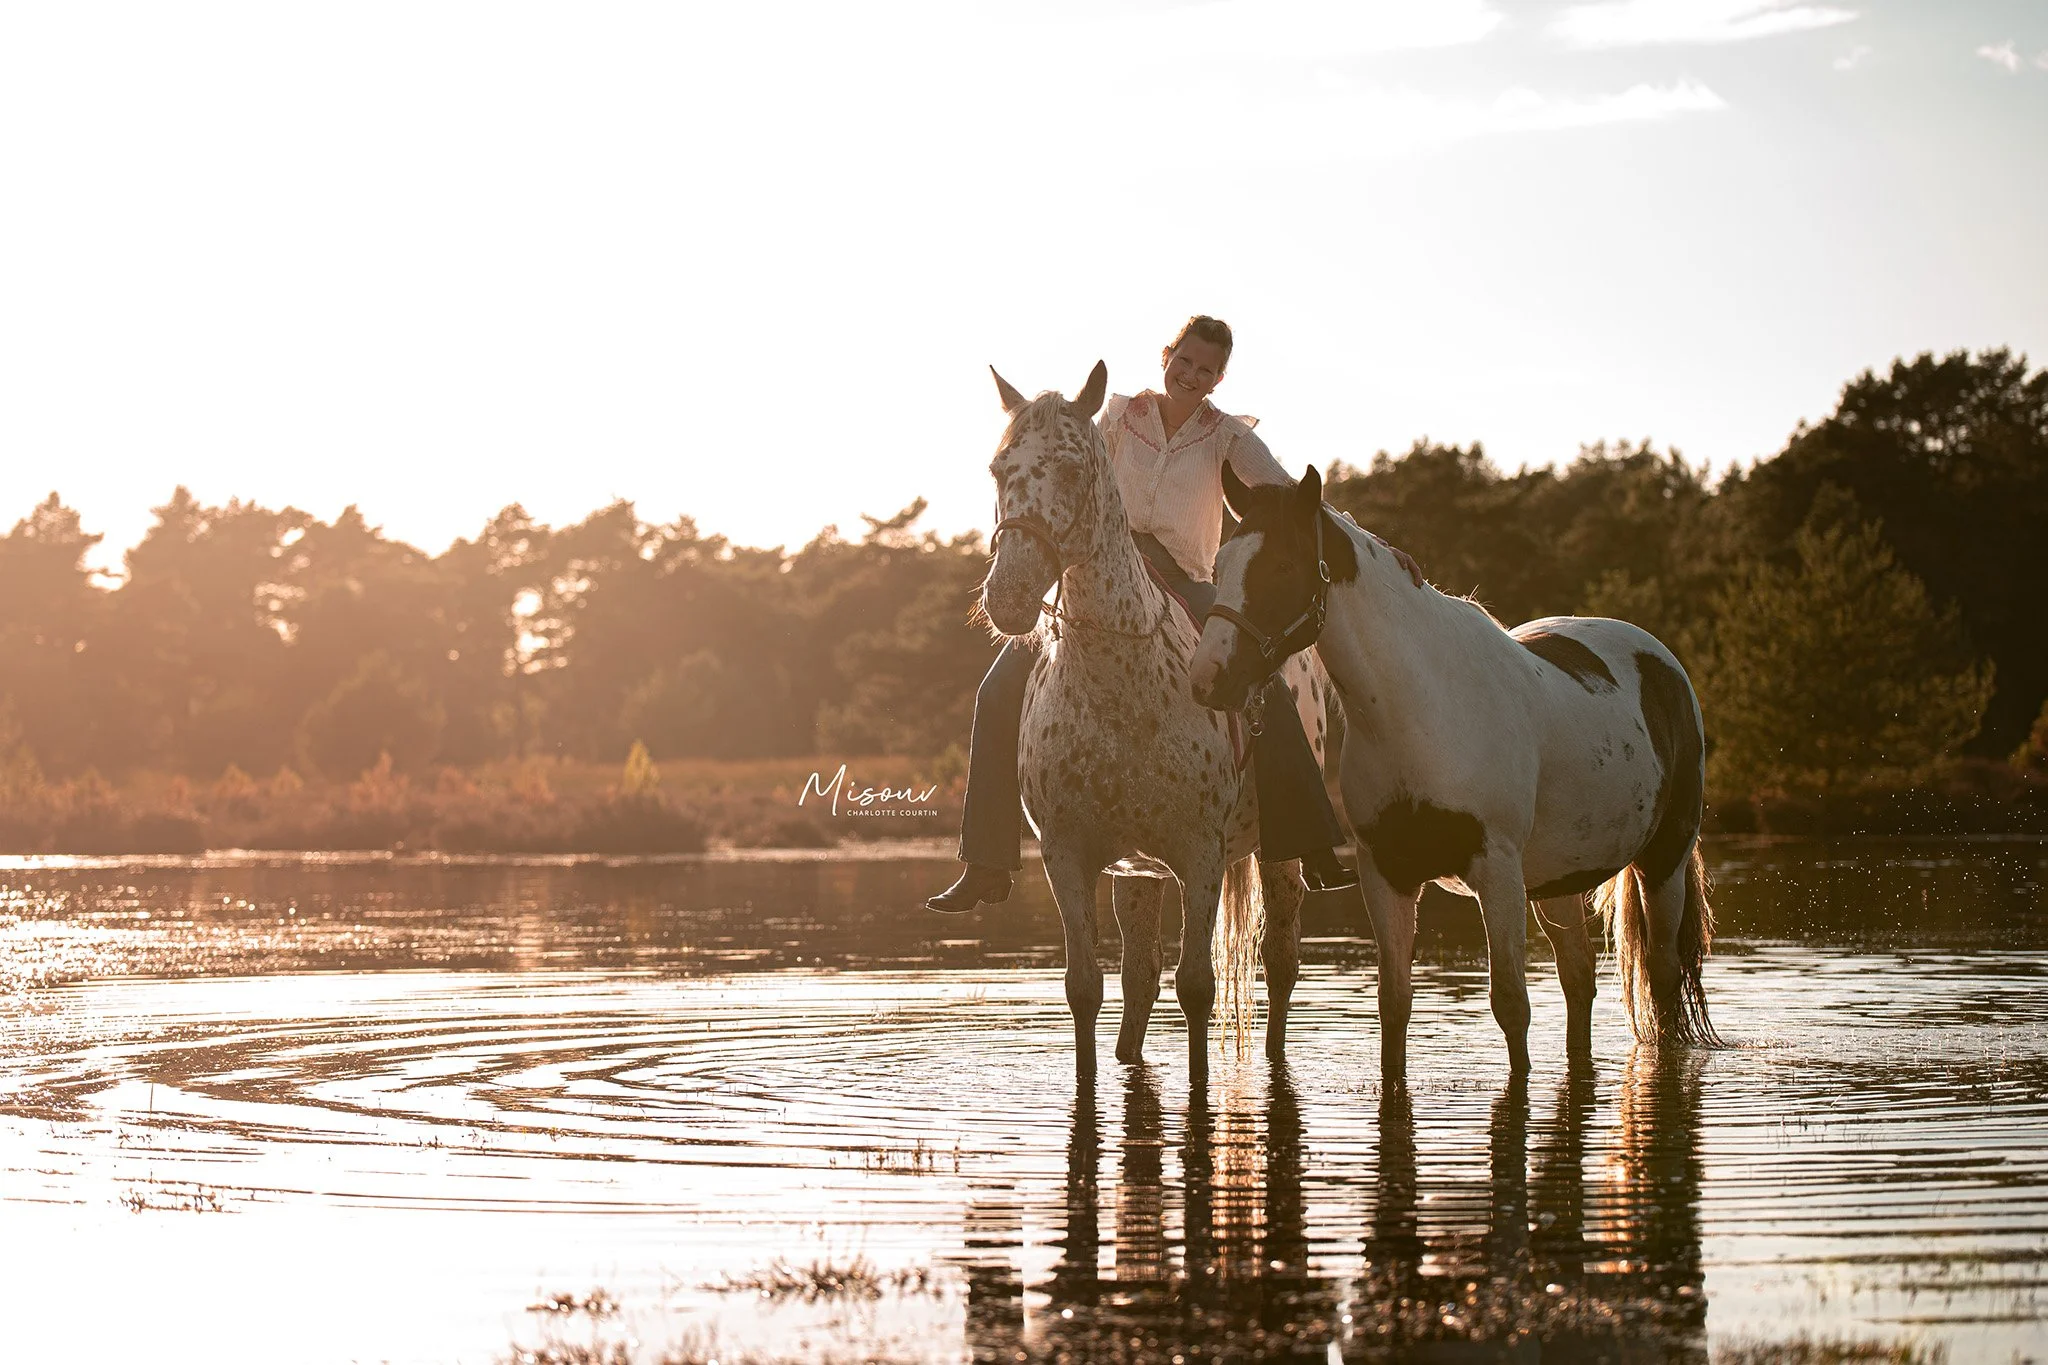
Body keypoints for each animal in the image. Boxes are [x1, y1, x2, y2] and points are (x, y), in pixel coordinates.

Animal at [979, 362, 1336, 1073]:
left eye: (1072, 469)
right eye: (1000, 469)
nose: (1008, 597)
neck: (1118, 686)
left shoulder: (1199, 855)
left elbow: (1197, 988)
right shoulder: (1069, 855)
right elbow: (1086, 988)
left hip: (1278, 858)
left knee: (1282, 966)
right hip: (1138, 876)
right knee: (1140, 975)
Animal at [1190, 465, 1720, 1077]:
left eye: (1280, 565)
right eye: (1219, 567)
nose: (1209, 678)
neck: (1423, 708)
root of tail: (1663, 663)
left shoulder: (1496, 871)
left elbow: (1510, 1004)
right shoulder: (1388, 875)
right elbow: (1394, 1006)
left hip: (1663, 861)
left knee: (1661, 975)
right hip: (1556, 880)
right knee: (1579, 978)